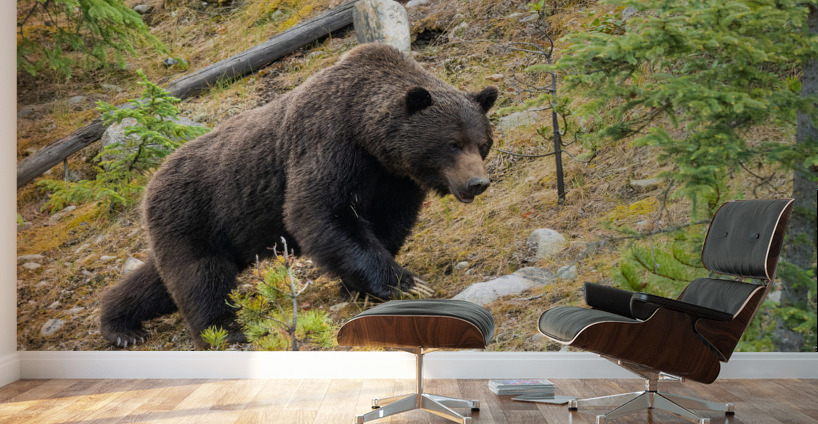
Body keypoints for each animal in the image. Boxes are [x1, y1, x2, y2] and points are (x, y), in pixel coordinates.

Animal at [99, 43, 498, 349]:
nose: (477, 183)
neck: (369, 137)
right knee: (201, 276)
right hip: (193, 211)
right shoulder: (329, 144)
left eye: (482, 143)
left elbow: (386, 223)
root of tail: (151, 180)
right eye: (452, 143)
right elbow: (319, 212)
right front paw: (406, 283)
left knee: (160, 281)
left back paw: (120, 323)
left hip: (210, 229)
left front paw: (359, 287)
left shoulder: (394, 180)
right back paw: (223, 332)